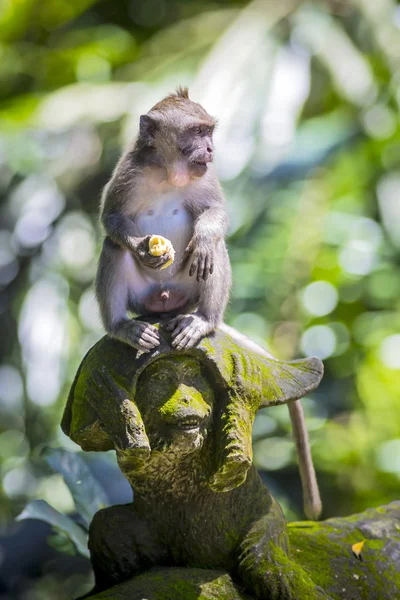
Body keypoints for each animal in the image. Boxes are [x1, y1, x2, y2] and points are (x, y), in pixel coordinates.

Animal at [95, 86, 230, 354]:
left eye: (208, 132)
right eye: (197, 132)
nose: (210, 149)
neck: (169, 173)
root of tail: (165, 299)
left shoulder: (205, 175)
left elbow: (216, 211)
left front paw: (203, 238)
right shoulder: (129, 171)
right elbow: (112, 216)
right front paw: (141, 248)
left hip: (186, 292)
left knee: (215, 246)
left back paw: (203, 320)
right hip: (141, 297)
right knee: (113, 245)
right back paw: (122, 327)